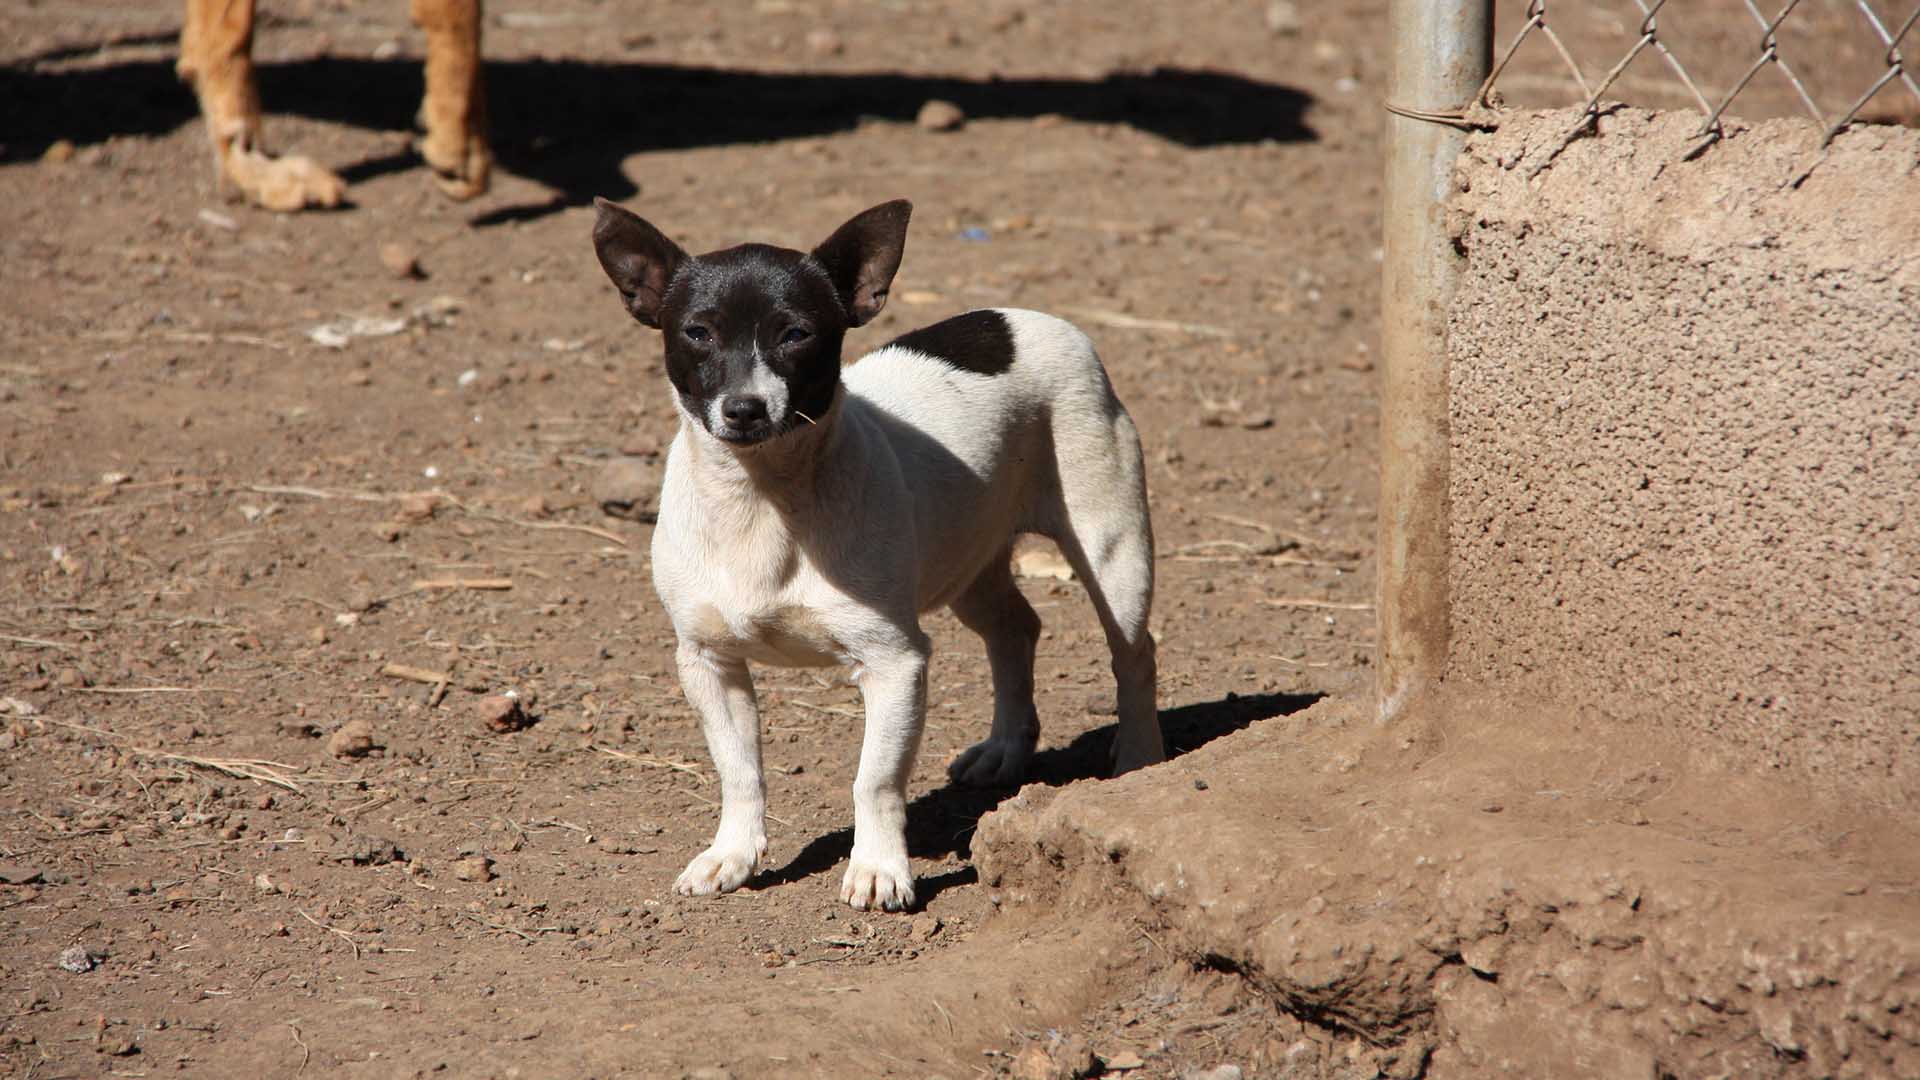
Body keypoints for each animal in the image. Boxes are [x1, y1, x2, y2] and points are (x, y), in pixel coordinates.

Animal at [587, 197, 1152, 903]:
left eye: (796, 334)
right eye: (698, 333)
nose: (745, 407)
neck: (763, 500)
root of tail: (1031, 320)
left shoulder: (895, 664)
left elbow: (874, 779)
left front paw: (879, 868)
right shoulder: (709, 664)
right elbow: (740, 773)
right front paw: (733, 854)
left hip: (1113, 551)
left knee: (1133, 655)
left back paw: (1140, 758)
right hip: (968, 563)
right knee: (1016, 629)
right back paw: (1004, 748)